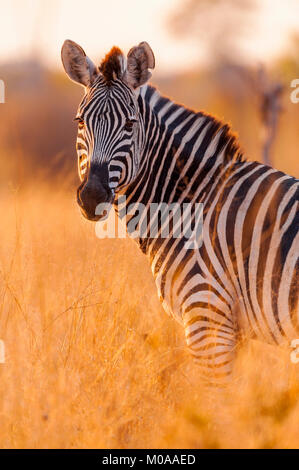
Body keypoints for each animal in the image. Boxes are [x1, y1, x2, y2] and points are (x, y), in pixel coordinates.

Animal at [61, 39, 299, 382]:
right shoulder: (230, 328)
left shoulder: (206, 316)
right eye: (80, 122)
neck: (193, 199)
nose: (92, 196)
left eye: (130, 125)